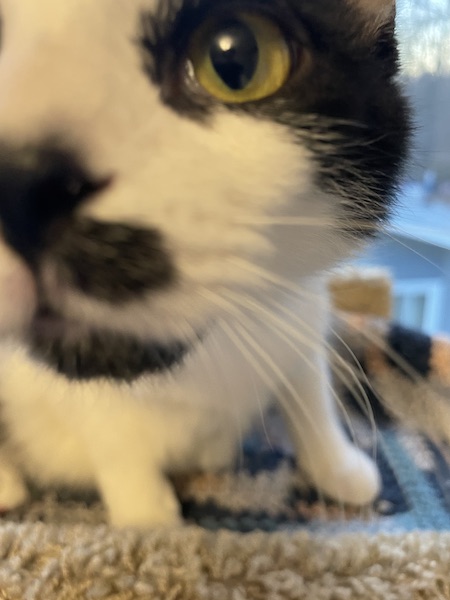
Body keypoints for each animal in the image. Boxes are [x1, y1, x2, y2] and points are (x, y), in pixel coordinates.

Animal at [0, 0, 412, 524]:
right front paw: (149, 520)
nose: (19, 185)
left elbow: (309, 391)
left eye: (235, 60)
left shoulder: (301, 314)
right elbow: (112, 435)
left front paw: (337, 468)